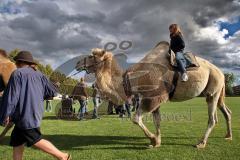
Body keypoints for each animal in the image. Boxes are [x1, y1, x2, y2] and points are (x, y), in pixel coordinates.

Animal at [75, 41, 232, 149]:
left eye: (91, 56)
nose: (77, 63)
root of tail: (221, 72)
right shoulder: (153, 100)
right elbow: (157, 120)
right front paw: (157, 141)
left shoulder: (154, 97)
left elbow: (136, 119)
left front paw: (152, 139)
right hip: (216, 91)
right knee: (226, 111)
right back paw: (228, 136)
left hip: (214, 88)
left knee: (212, 119)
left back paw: (201, 143)